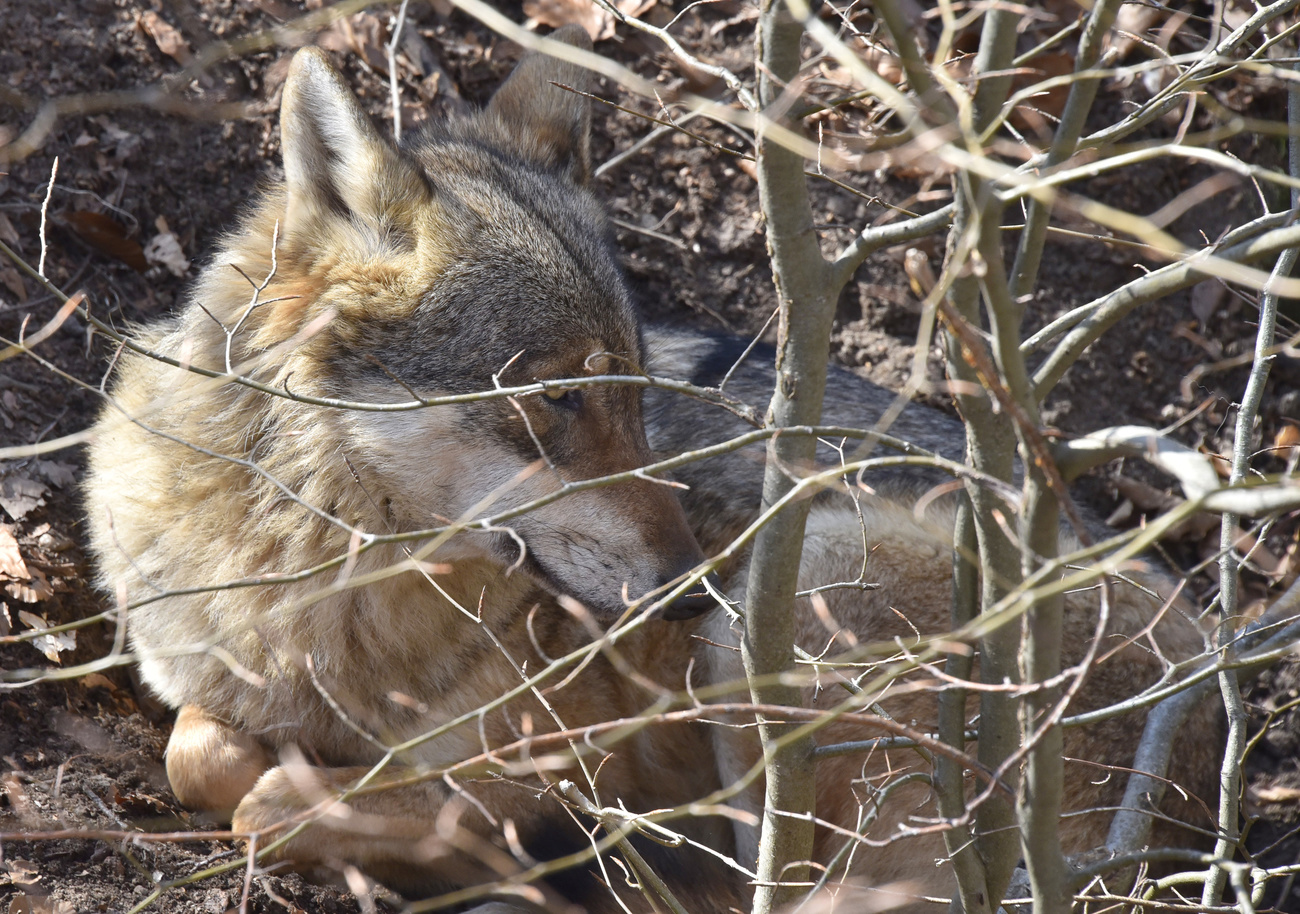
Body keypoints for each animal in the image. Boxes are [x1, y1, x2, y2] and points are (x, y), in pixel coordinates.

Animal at [83, 25, 1216, 910]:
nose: (690, 585)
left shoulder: (570, 746)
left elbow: (285, 803)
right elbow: (202, 753)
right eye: (557, 398)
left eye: (631, 393)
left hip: (786, 604)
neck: (317, 591)